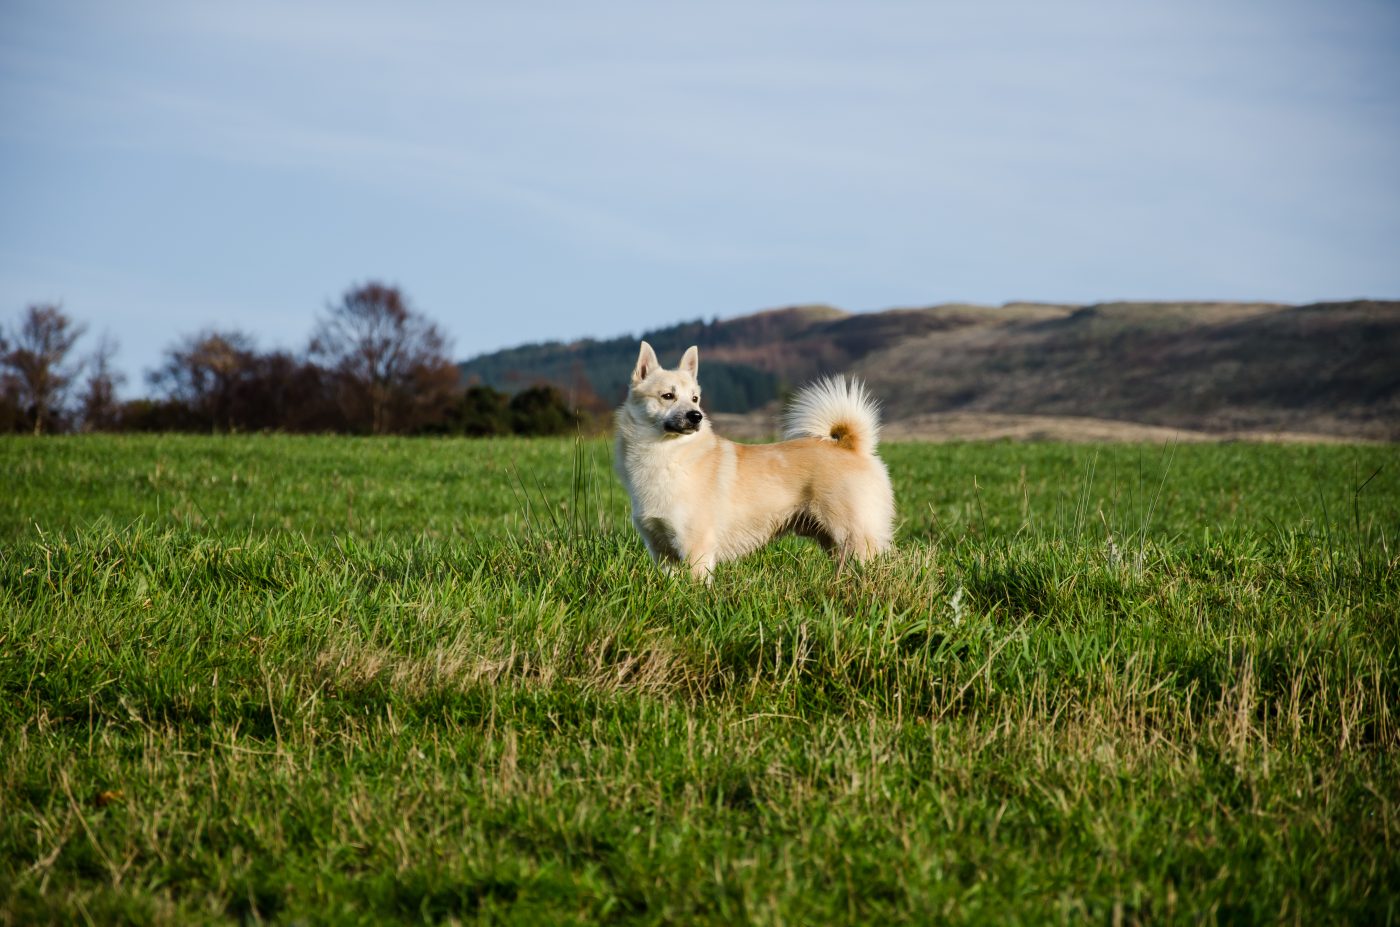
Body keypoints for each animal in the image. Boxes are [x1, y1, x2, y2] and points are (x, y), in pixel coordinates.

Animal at [616, 341, 896, 582]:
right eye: (667, 396)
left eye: (695, 398)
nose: (696, 416)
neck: (666, 454)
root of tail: (852, 447)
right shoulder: (661, 551)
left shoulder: (697, 549)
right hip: (833, 542)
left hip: (854, 536)